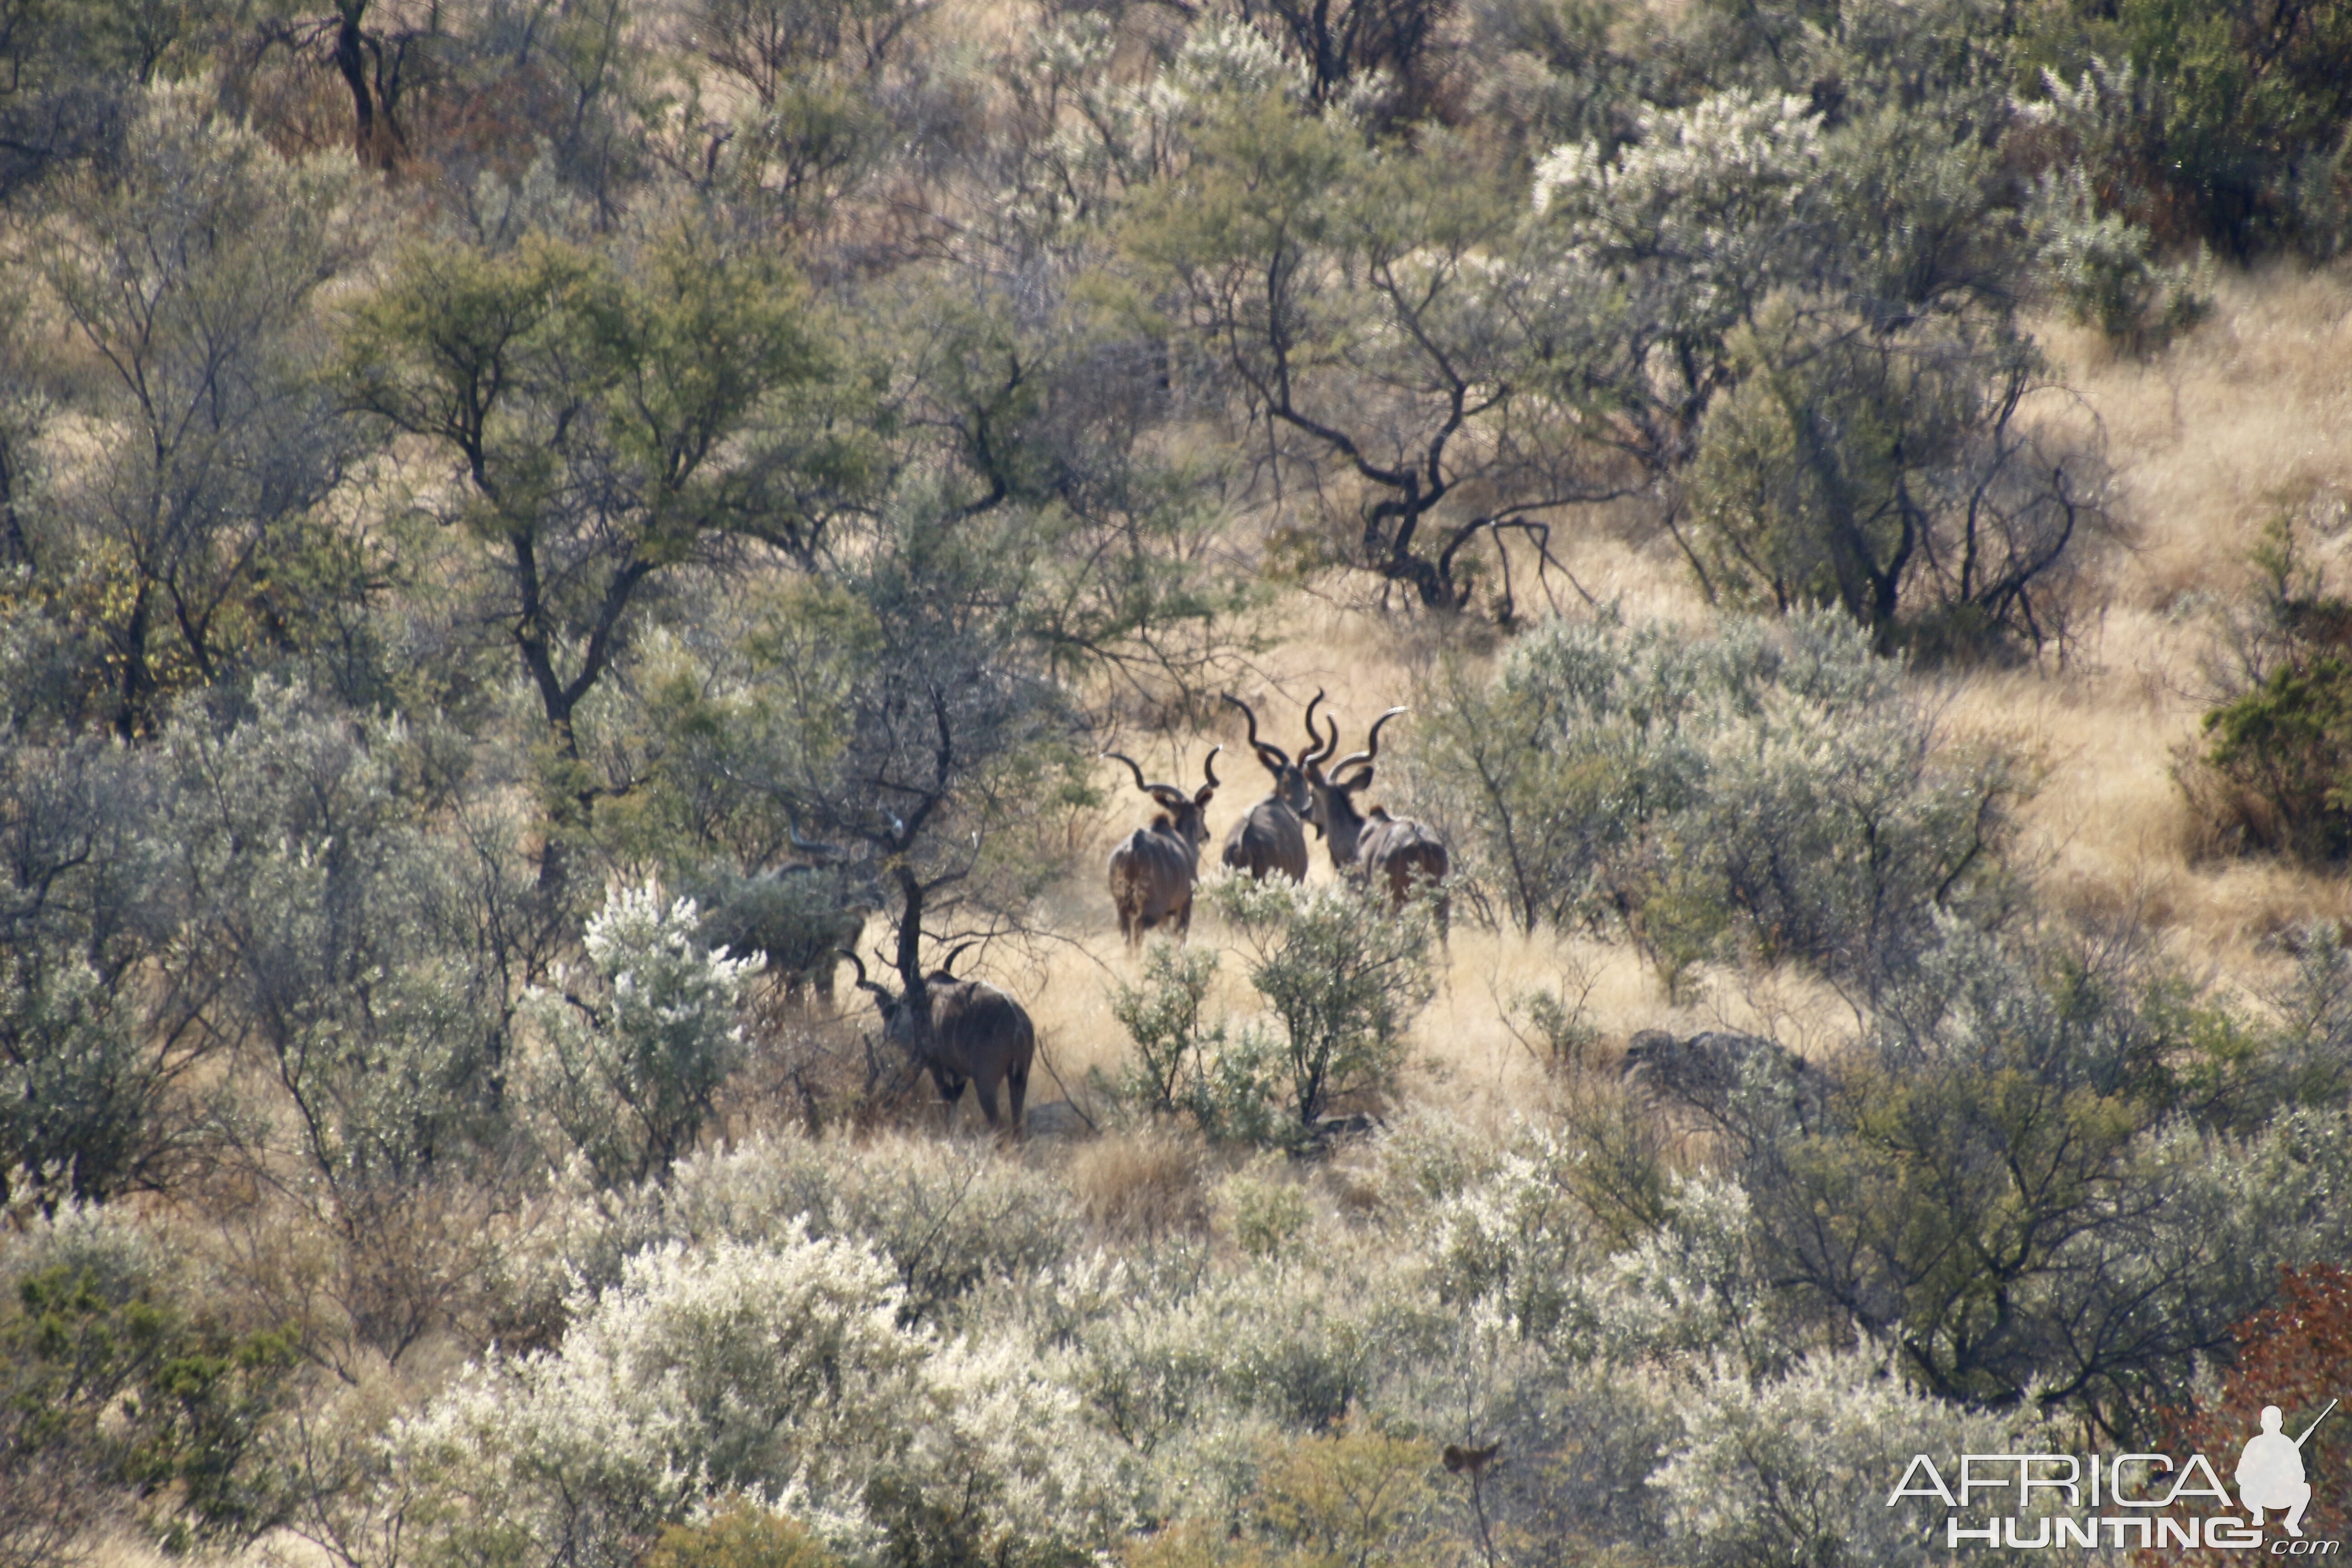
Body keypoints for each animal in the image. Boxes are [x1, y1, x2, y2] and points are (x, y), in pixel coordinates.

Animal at [842, 950, 1034, 1133]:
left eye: (888, 1013)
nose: (887, 1035)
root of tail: (1017, 1021)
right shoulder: (958, 1073)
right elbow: (954, 1098)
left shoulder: (934, 1063)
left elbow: (947, 1098)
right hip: (1020, 1078)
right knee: (1018, 1125)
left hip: (986, 1081)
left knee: (999, 1125)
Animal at [1101, 747, 1213, 945]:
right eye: (1203, 812)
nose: (1207, 835)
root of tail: (1133, 847)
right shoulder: (1184, 905)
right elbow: (1180, 940)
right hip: (1151, 910)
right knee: (1138, 935)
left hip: (1123, 908)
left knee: (1128, 937)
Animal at [1308, 710, 1449, 926]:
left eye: (1313, 794)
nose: (1303, 812)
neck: (1356, 835)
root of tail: (1421, 842)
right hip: (1440, 898)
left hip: (1396, 898)